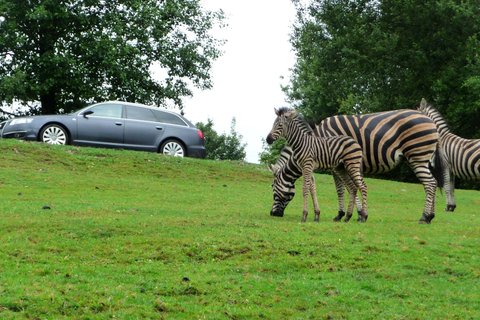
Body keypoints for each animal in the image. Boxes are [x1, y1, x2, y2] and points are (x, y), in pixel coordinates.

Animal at [268, 107, 444, 222]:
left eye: (272, 187)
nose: (273, 213)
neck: (317, 138)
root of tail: (429, 118)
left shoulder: (334, 166)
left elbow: (341, 189)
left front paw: (344, 213)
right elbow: (346, 187)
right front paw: (355, 212)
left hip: (417, 156)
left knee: (429, 184)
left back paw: (424, 216)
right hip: (422, 158)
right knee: (433, 183)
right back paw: (431, 216)